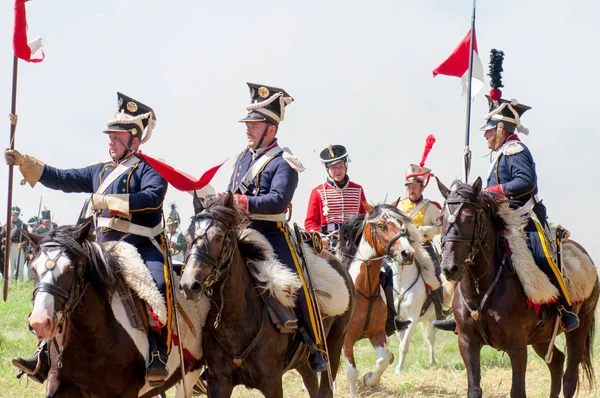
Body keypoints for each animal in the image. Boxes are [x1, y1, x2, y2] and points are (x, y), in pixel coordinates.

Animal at [24, 224, 207, 398]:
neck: (90, 338)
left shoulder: (126, 391)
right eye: (33, 269)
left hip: (192, 371)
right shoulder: (60, 384)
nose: (40, 323)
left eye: (69, 269)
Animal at [178, 191, 356, 396]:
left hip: (334, 345)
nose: (189, 285)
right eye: (187, 236)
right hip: (303, 362)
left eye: (219, 236)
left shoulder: (272, 382)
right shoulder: (218, 382)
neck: (237, 320)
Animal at [336, 202, 434, 394]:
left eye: (401, 226)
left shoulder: (378, 334)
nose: (408, 253)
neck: (365, 289)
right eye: (382, 226)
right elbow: (352, 372)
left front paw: (369, 379)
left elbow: (382, 361)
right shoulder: (347, 338)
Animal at [436, 178, 600, 398]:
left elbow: (518, 391)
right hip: (542, 338)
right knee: (557, 362)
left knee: (569, 379)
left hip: (580, 328)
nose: (449, 268)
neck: (481, 289)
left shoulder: (517, 344)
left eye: (469, 218)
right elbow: (474, 389)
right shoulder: (467, 341)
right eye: (441, 219)